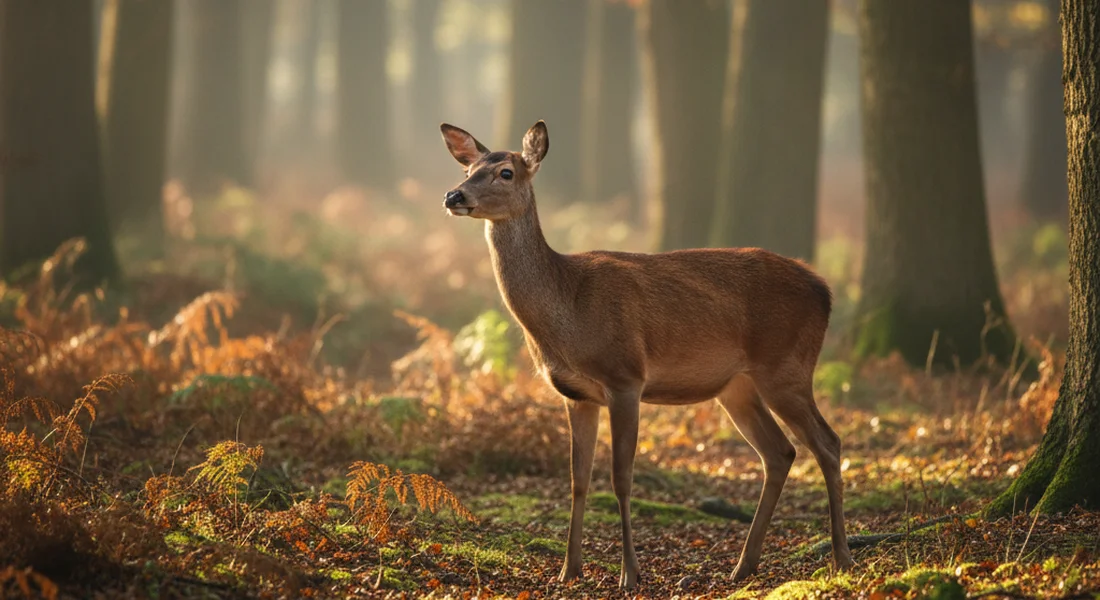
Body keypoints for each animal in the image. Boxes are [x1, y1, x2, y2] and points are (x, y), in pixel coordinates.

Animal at [439, 120, 854, 589]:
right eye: (469, 168)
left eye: (505, 172)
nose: (454, 196)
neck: (568, 309)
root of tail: (825, 291)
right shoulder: (576, 395)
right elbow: (578, 480)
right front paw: (568, 569)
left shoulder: (625, 377)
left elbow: (621, 477)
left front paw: (630, 574)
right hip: (737, 387)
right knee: (780, 452)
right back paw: (744, 565)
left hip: (787, 367)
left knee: (828, 442)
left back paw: (840, 557)